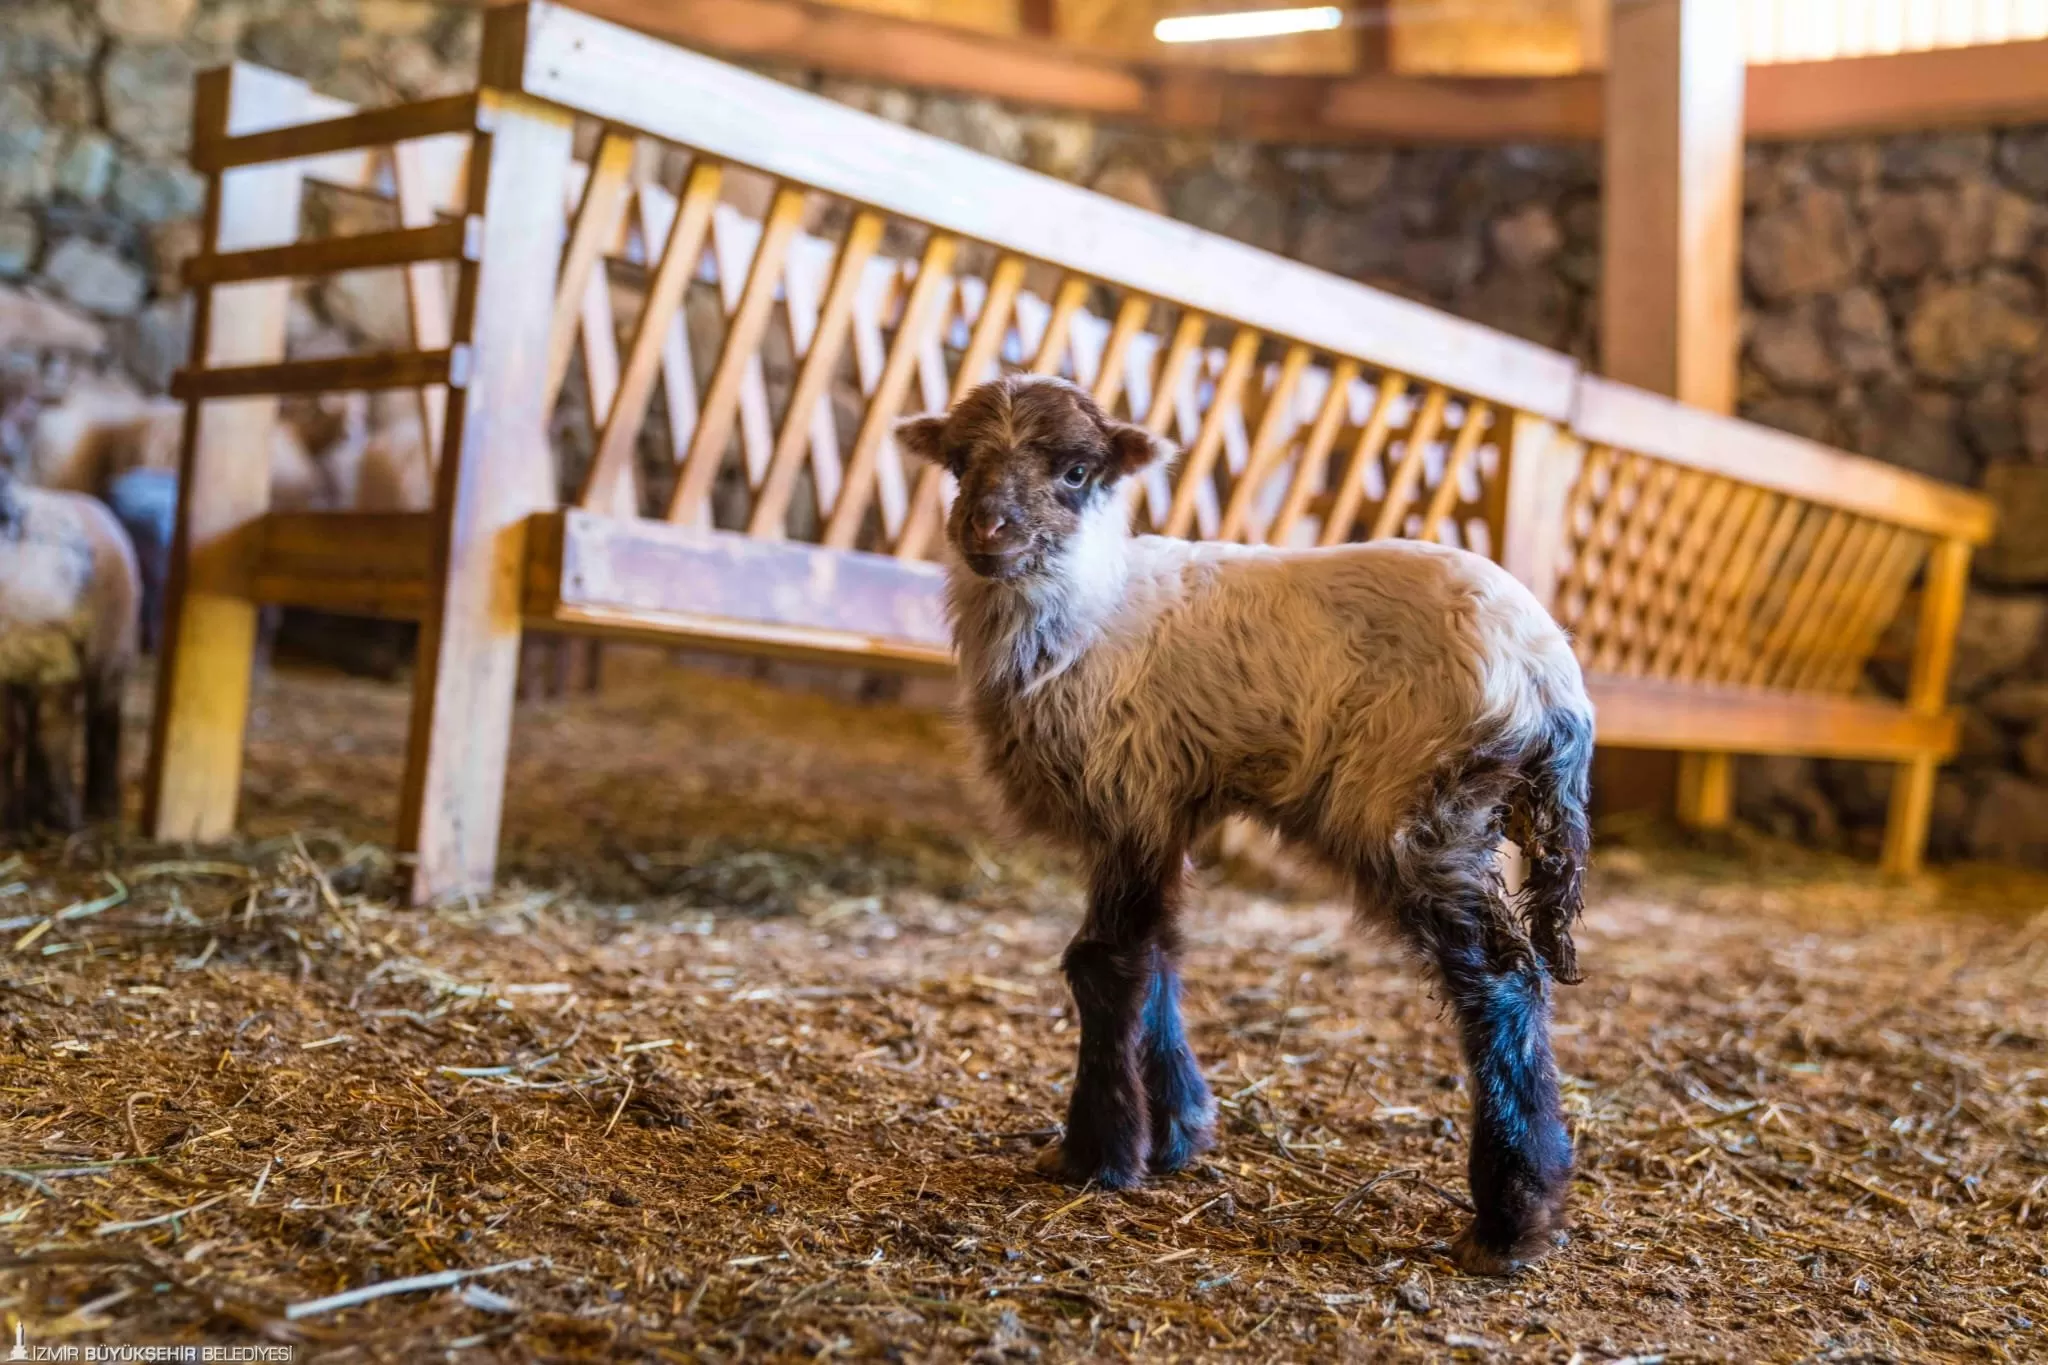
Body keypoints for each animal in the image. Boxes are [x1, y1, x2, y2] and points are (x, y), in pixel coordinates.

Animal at [0, 470, 139, 834]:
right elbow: (8, 740)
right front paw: (11, 822)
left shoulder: (61, 661)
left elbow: (56, 738)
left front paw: (66, 819)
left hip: (113, 657)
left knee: (103, 726)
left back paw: (101, 805)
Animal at [901, 374, 1597, 1285]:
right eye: (958, 462)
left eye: (1077, 471)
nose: (987, 528)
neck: (1090, 612)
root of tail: (1553, 681)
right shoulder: (1160, 803)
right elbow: (1159, 954)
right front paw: (1177, 1131)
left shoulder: (1127, 788)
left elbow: (1103, 965)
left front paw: (1096, 1154)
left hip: (1420, 810)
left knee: (1501, 980)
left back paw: (1513, 1216)